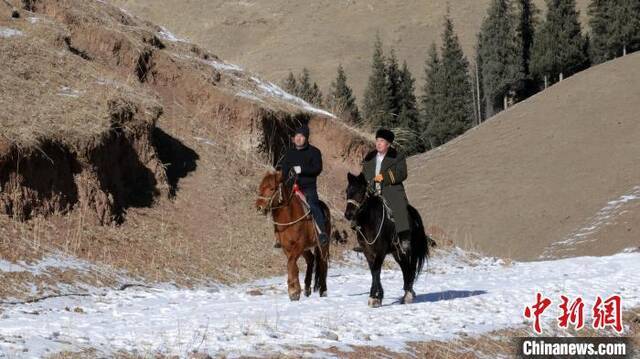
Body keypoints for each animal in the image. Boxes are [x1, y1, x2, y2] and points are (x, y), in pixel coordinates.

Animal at [256, 172, 330, 300]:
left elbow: (291, 263)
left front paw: (293, 291)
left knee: (323, 263)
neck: (289, 216)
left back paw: (323, 291)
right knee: (311, 259)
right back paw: (307, 288)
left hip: (323, 245)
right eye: (261, 187)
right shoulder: (287, 247)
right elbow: (293, 265)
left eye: (272, 188)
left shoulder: (298, 244)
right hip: (305, 249)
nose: (259, 207)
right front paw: (295, 290)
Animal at [344, 173, 430, 308]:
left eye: (360, 191)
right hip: (397, 253)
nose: (348, 215)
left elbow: (376, 270)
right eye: (347, 191)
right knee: (405, 269)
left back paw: (408, 295)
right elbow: (373, 271)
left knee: (410, 269)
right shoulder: (368, 252)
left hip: (409, 251)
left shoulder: (381, 251)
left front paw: (373, 297)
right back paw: (407, 293)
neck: (371, 221)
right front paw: (378, 297)